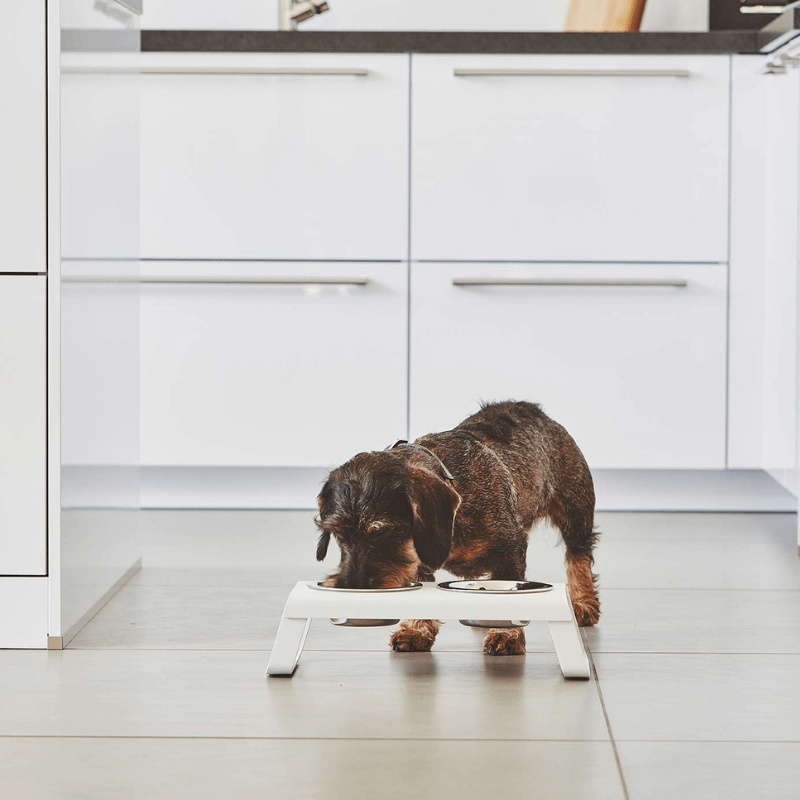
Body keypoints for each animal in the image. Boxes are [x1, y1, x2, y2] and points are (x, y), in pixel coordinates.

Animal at [312, 400, 600, 656]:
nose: (352, 588)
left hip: (575, 511)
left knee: (578, 556)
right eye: (339, 534)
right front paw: (416, 630)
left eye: (382, 531)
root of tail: (531, 408)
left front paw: (505, 635)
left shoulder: (511, 547)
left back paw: (582, 602)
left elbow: (509, 588)